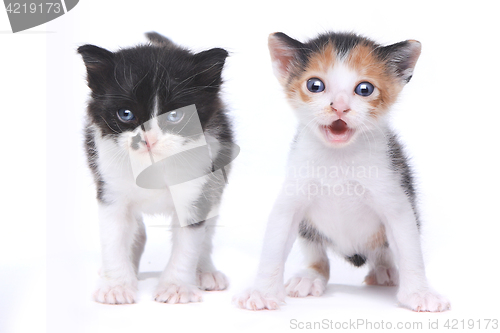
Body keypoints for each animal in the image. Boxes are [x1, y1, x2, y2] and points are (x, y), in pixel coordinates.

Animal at [78, 31, 234, 304]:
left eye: (175, 116)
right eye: (126, 114)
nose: (148, 139)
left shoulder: (196, 189)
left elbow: (189, 243)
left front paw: (176, 287)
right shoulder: (110, 191)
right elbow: (114, 238)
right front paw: (117, 285)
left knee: (207, 231)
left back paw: (205, 271)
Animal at [234, 31, 450, 312]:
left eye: (364, 89)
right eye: (315, 85)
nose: (339, 107)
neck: (338, 157)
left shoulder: (395, 197)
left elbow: (408, 247)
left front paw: (420, 293)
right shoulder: (292, 194)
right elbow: (275, 241)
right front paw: (262, 291)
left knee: (383, 250)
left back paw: (385, 270)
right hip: (310, 231)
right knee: (317, 253)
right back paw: (310, 276)